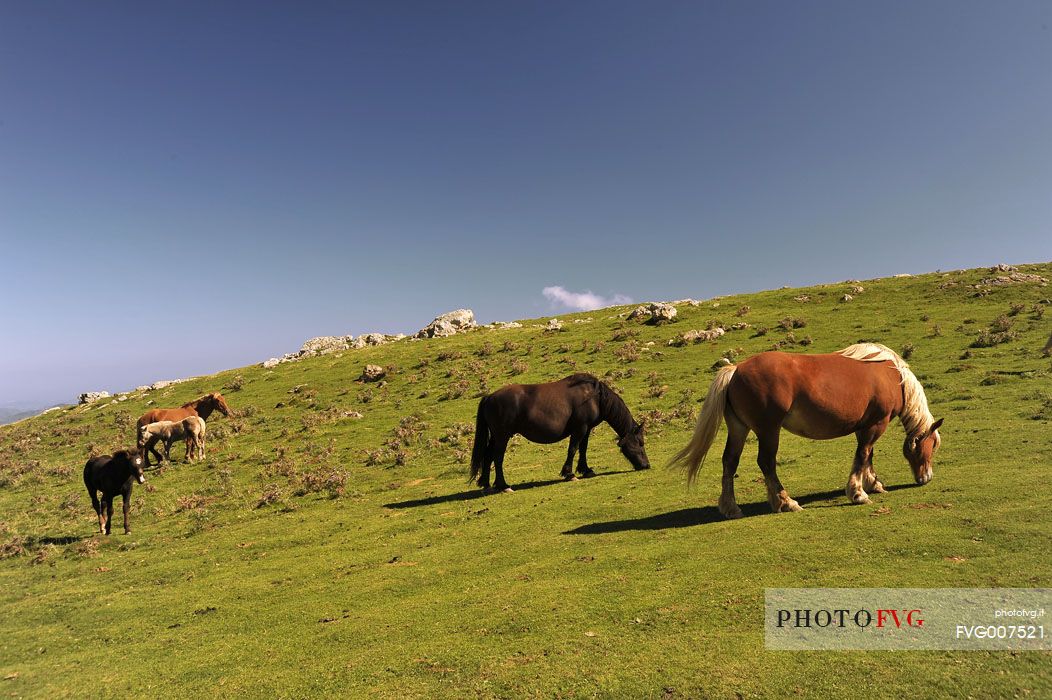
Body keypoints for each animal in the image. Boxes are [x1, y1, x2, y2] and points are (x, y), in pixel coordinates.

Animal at [471, 370, 648, 490]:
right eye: (640, 443)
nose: (646, 465)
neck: (594, 397)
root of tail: (489, 397)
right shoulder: (580, 428)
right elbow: (573, 449)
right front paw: (569, 474)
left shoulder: (587, 429)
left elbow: (583, 449)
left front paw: (586, 470)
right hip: (502, 436)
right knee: (497, 457)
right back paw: (503, 485)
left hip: (496, 437)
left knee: (488, 456)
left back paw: (486, 484)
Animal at [673, 341, 946, 515]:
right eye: (931, 446)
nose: (926, 478)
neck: (892, 376)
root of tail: (736, 370)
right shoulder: (876, 424)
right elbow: (862, 455)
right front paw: (858, 493)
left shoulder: (865, 426)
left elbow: (867, 456)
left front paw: (873, 484)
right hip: (768, 430)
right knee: (766, 462)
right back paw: (786, 502)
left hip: (739, 428)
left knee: (730, 462)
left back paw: (732, 507)